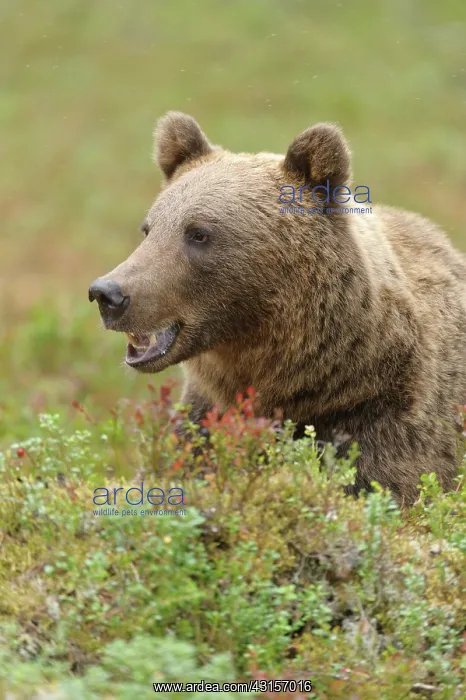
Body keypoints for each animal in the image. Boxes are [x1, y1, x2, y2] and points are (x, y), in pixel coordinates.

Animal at [89, 111, 466, 505]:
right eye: (149, 228)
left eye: (199, 233)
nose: (108, 294)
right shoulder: (205, 413)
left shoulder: (384, 412)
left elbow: (385, 481)